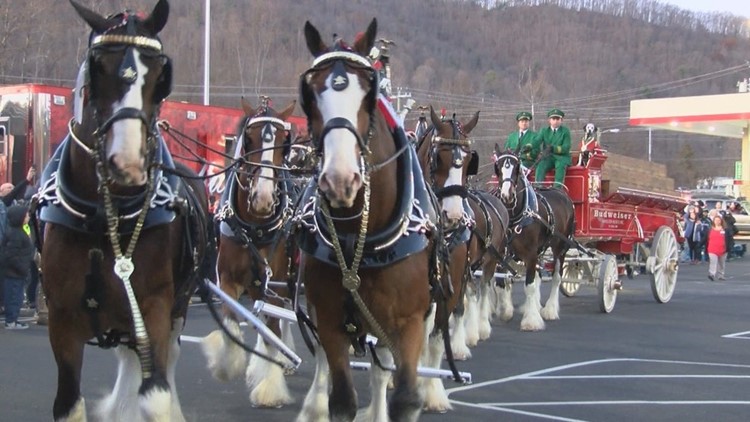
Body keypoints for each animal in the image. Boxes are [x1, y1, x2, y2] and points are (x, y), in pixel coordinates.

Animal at [35, 1, 209, 420]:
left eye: (161, 74)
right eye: (98, 66)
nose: (127, 164)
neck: (103, 216)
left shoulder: (156, 308)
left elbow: (156, 393)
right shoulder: (61, 320)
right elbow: (68, 403)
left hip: (176, 307)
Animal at [203, 97, 302, 408]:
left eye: (284, 141)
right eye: (249, 139)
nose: (263, 198)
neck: (256, 227)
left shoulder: (275, 281)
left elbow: (271, 330)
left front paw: (270, 389)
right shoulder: (227, 279)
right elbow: (232, 321)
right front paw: (227, 365)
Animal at [294, 19, 434, 422]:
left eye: (368, 95)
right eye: (309, 95)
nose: (340, 180)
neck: (360, 239)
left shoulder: (410, 321)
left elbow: (406, 398)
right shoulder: (328, 319)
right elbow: (341, 399)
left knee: (381, 368)